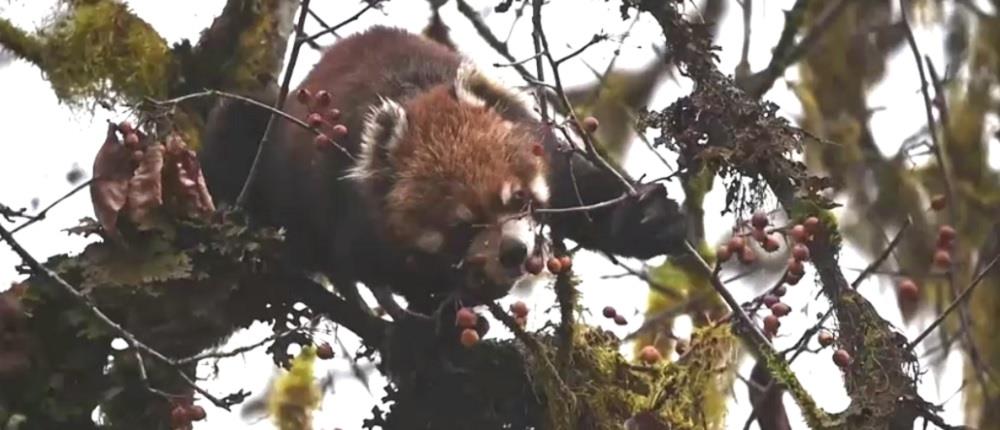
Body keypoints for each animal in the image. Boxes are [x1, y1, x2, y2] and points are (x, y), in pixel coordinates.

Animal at [203, 27, 688, 316]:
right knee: (236, 125)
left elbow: (580, 193)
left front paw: (646, 221)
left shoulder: (542, 149)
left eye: (519, 199)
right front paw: (449, 294)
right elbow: (365, 261)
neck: (418, 97)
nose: (513, 251)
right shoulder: (347, 206)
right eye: (462, 226)